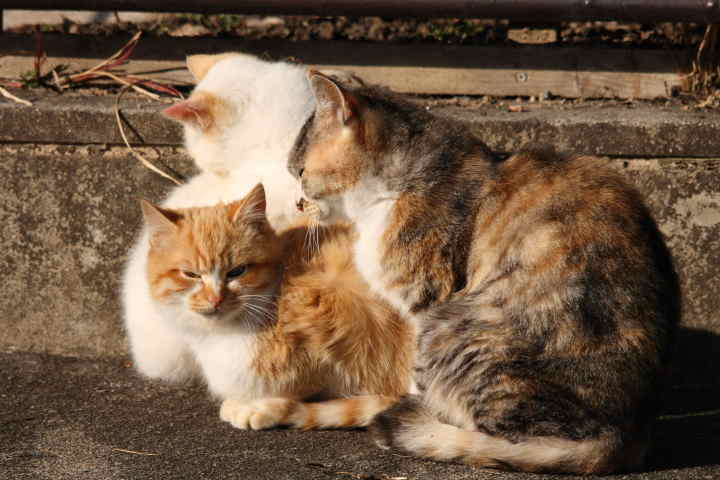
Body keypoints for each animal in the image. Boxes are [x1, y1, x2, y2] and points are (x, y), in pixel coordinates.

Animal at [287, 72, 680, 474]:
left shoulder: (427, 300)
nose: (297, 203)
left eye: (300, 172)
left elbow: (417, 375)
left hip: (455, 325)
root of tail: (625, 437)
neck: (394, 190)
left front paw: (415, 404)